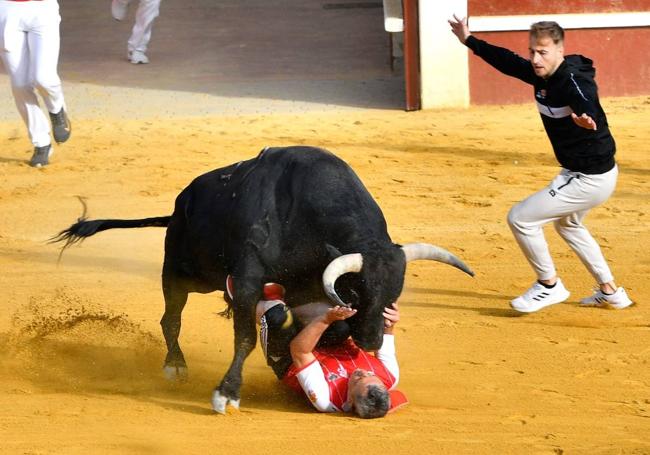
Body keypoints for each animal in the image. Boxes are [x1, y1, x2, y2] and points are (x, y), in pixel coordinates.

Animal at [53, 146, 470, 414]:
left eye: (394, 293)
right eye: (354, 288)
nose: (371, 341)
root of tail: (179, 203)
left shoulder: (307, 289)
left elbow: (318, 327)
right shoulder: (248, 277)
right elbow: (246, 338)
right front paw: (227, 394)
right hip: (182, 272)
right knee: (170, 318)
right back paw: (175, 365)